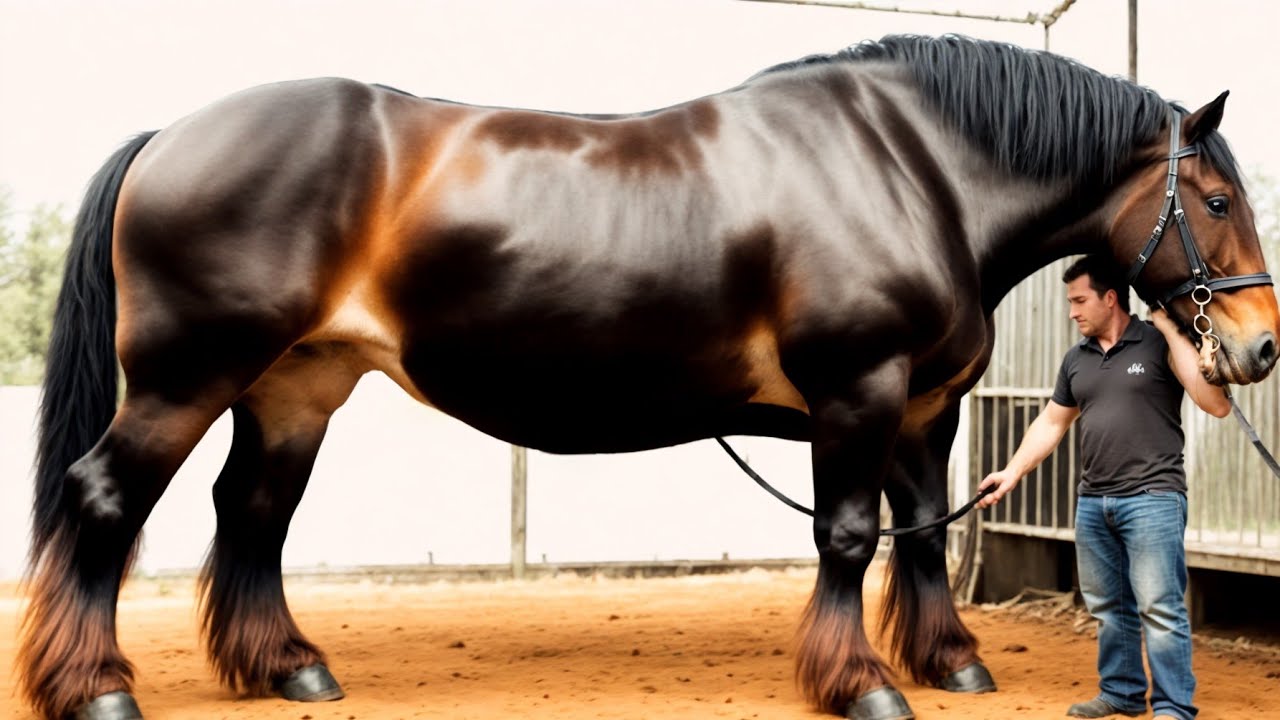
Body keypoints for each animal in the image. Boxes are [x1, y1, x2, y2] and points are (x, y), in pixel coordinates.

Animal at [20, 34, 1279, 720]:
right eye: (1215, 197)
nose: (1258, 345)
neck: (911, 168)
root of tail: (172, 133)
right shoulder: (858, 392)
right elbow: (847, 537)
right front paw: (859, 681)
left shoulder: (924, 409)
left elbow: (921, 535)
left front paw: (950, 664)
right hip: (188, 376)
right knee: (107, 497)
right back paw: (97, 684)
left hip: (294, 383)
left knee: (254, 509)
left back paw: (286, 668)